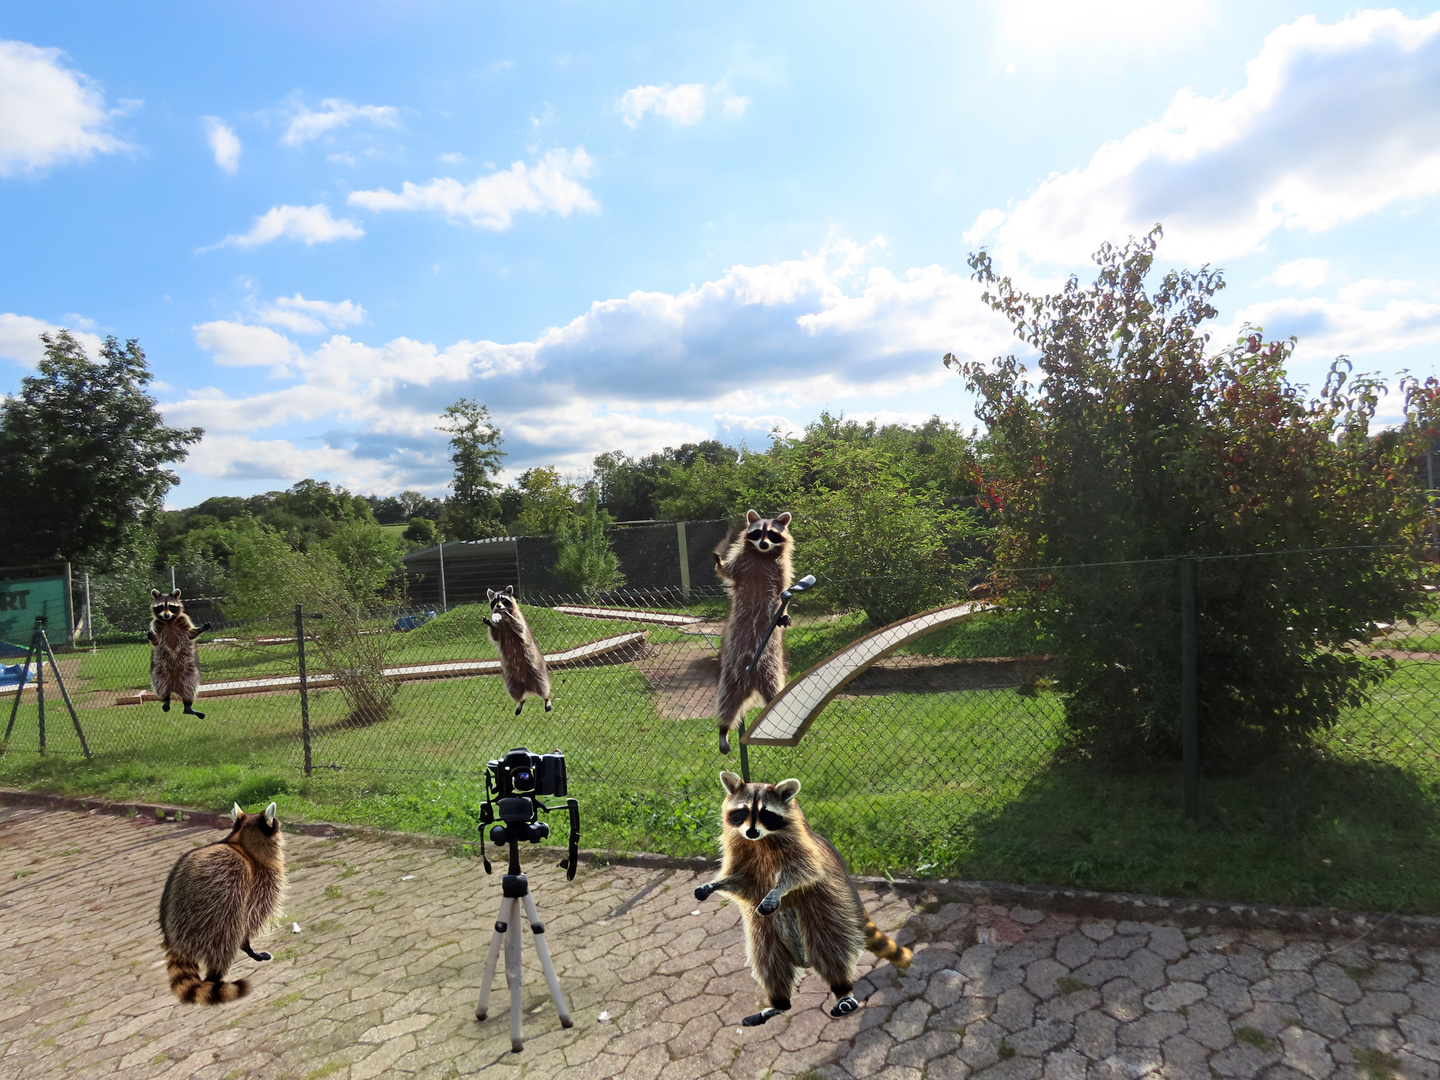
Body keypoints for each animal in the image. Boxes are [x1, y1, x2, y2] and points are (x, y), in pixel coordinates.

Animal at [159, 806, 286, 1008]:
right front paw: (248, 947)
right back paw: (215, 978)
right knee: (226, 939)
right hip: (215, 915)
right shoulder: (256, 885)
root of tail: (176, 942)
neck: (241, 842)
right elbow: (250, 918)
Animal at [688, 771, 910, 1025]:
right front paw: (714, 884)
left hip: (828, 911)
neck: (760, 840)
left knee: (830, 949)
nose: (752, 832)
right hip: (766, 932)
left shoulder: (802, 847)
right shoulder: (741, 850)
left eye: (766, 813)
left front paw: (777, 890)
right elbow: (742, 879)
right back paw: (779, 1004)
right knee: (769, 961)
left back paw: (842, 990)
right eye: (742, 812)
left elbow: (804, 871)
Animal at [711, 512, 794, 754]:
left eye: (772, 534)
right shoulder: (742, 564)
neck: (762, 555)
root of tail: (751, 680)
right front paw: (719, 560)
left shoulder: (781, 569)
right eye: (758, 533)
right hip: (731, 674)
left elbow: (783, 590)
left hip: (772, 670)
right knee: (726, 702)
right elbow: (727, 571)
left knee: (776, 695)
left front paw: (784, 611)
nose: (764, 544)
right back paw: (723, 729)